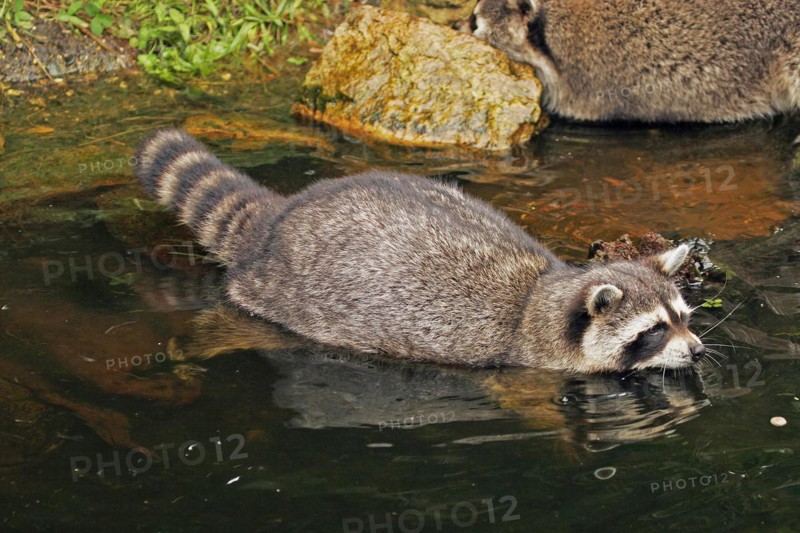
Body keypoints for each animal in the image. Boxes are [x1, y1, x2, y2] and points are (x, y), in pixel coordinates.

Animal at [135, 129, 705, 373]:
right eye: (654, 330)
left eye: (682, 317)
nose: (699, 350)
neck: (542, 296)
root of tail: (283, 213)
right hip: (278, 292)